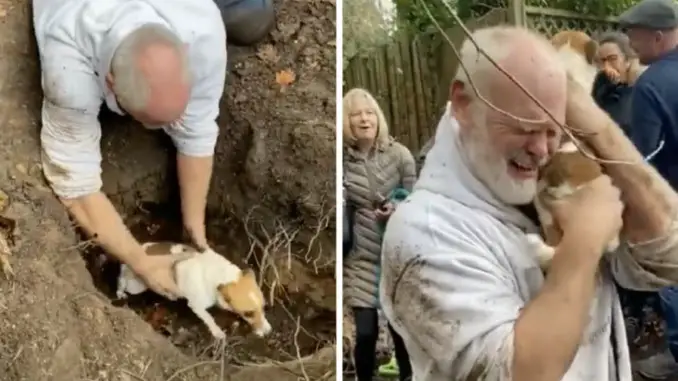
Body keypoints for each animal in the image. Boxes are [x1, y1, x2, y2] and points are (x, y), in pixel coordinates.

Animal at [117, 242, 274, 336]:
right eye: (248, 313)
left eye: (264, 307)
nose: (268, 332)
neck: (224, 277)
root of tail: (143, 248)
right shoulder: (196, 305)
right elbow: (209, 318)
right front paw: (217, 332)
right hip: (137, 285)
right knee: (122, 279)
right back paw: (120, 292)